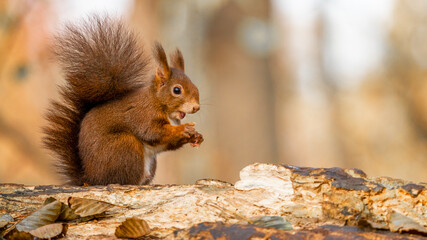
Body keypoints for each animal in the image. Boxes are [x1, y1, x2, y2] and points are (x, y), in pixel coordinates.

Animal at [43, 16, 204, 186]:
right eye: (177, 90)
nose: (196, 107)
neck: (158, 102)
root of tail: (90, 179)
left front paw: (196, 136)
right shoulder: (143, 114)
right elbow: (153, 132)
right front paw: (183, 129)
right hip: (125, 145)